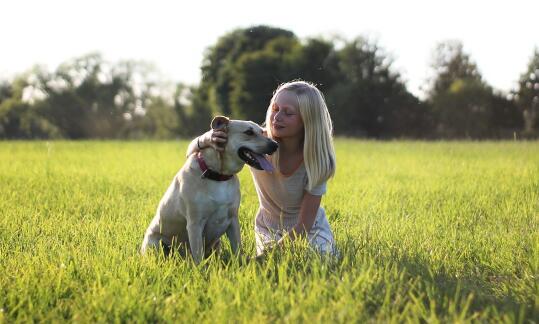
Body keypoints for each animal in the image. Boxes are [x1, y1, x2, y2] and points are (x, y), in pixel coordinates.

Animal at [139, 116, 278, 264]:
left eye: (262, 132)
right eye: (249, 132)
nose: (275, 145)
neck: (218, 175)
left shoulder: (233, 219)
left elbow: (237, 249)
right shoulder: (195, 224)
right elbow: (198, 257)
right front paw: (201, 270)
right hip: (155, 244)